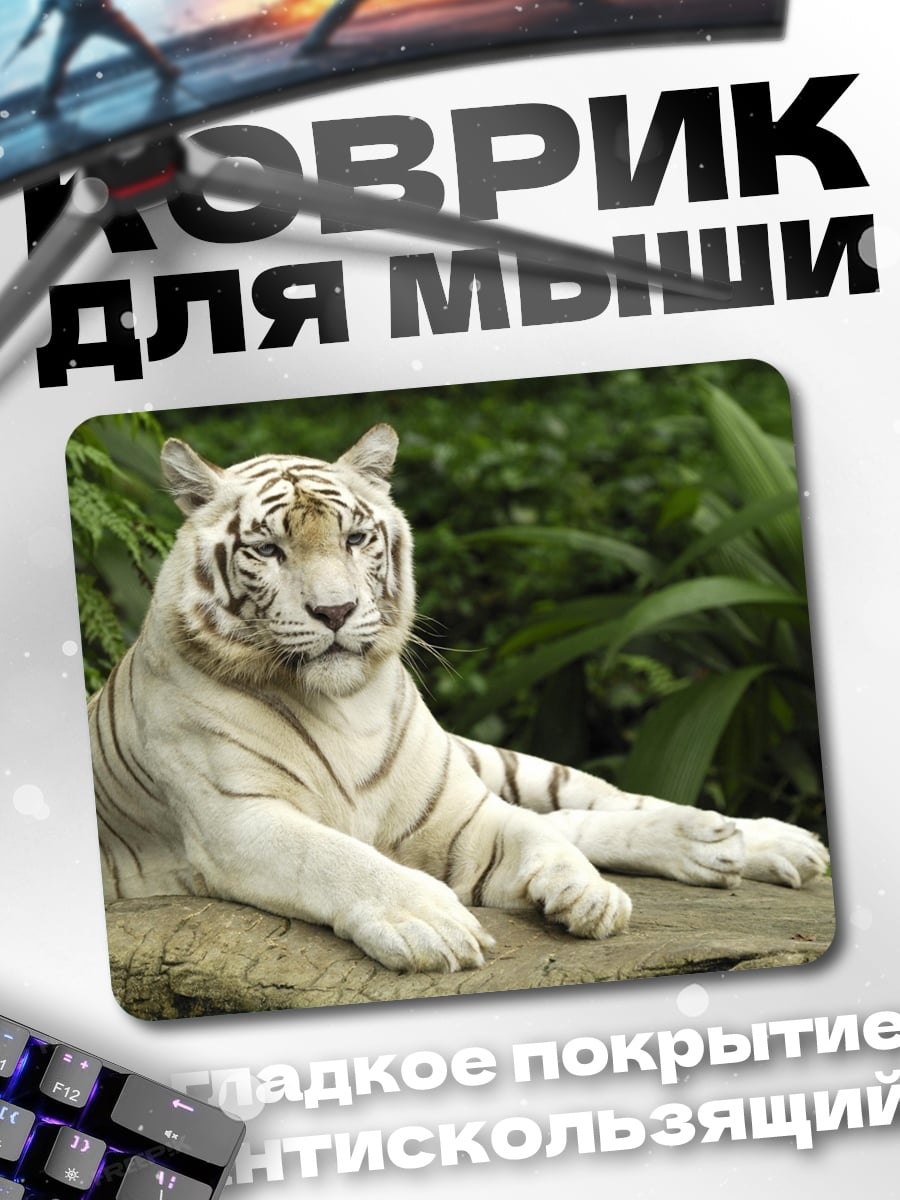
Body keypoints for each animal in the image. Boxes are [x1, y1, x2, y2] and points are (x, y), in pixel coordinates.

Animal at [89, 424, 829, 973]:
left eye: (356, 538)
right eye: (268, 550)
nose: (335, 611)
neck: (343, 708)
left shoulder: (456, 812)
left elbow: (531, 831)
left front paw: (585, 894)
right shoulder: (238, 822)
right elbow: (336, 857)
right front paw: (433, 923)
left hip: (487, 762)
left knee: (589, 802)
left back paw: (743, 839)